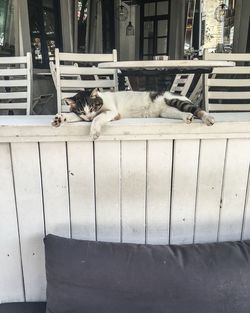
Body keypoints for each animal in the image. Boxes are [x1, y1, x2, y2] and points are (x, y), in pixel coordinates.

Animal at [51, 89, 214, 140]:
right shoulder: (82, 116)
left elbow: (98, 117)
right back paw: (187, 117)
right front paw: (60, 118)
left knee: (197, 109)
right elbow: (74, 117)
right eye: (81, 110)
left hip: (174, 101)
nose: (89, 117)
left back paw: (209, 118)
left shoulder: (112, 113)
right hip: (168, 112)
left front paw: (94, 131)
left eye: (92, 107)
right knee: (184, 113)